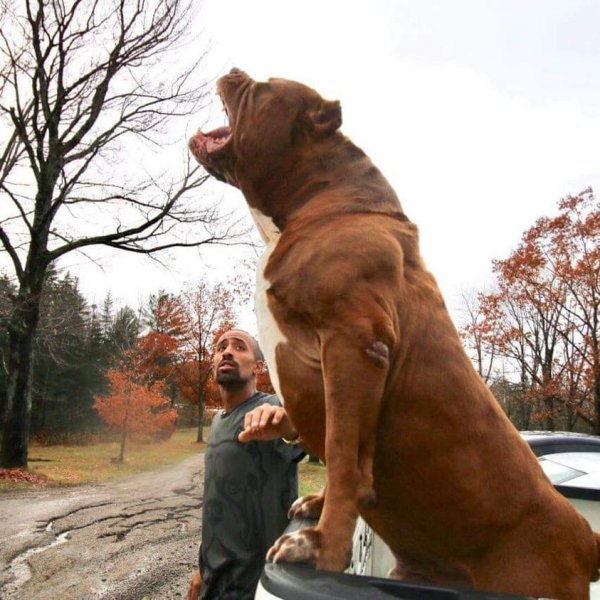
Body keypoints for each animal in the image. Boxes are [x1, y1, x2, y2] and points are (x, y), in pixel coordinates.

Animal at [189, 69, 600, 596]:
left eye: (261, 89)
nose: (235, 71)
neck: (316, 200)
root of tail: (586, 540)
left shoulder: (354, 344)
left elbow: (344, 454)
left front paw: (321, 548)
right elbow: (331, 445)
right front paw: (315, 500)